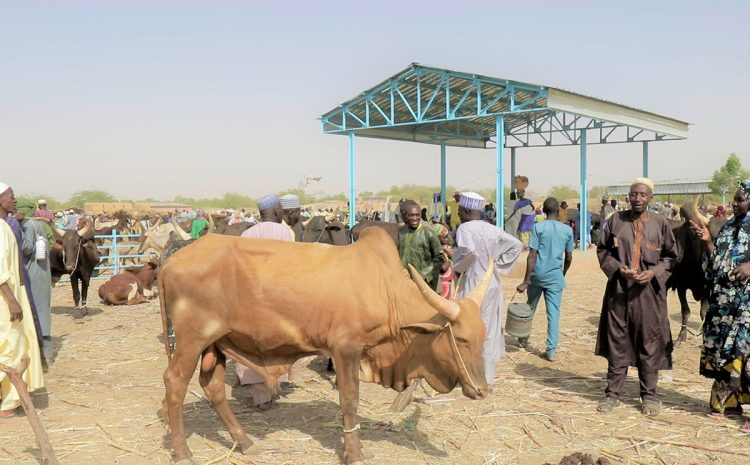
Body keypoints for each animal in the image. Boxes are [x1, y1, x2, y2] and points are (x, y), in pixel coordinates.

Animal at [159, 227, 494, 462]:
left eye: (483, 335)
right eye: (461, 339)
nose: (482, 390)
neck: (383, 288)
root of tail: (171, 261)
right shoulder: (346, 348)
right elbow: (349, 400)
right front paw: (355, 453)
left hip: (215, 344)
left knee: (212, 386)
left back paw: (245, 442)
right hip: (192, 340)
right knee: (174, 383)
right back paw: (183, 452)